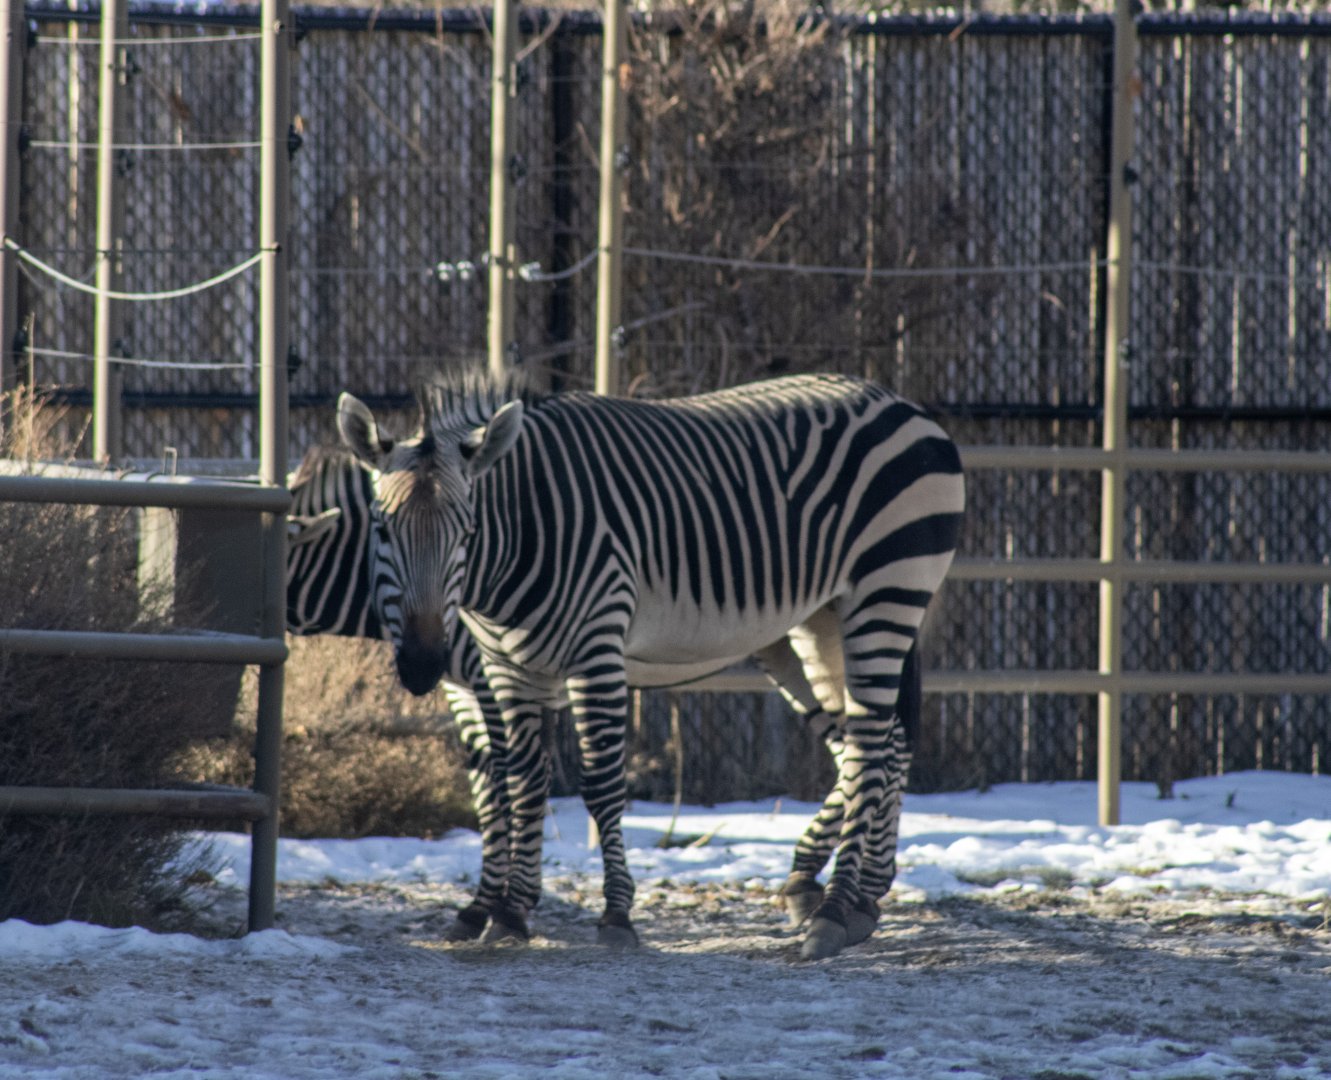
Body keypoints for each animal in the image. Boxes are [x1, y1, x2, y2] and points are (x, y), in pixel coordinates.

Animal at [338, 372, 964, 959]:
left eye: (467, 532)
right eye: (382, 530)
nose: (422, 664)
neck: (524, 535)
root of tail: (897, 401)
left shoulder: (595, 650)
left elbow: (599, 785)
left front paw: (615, 914)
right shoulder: (508, 669)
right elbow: (522, 783)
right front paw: (511, 914)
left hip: (887, 590)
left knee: (870, 745)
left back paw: (834, 911)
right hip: (822, 619)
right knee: (876, 744)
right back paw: (856, 899)